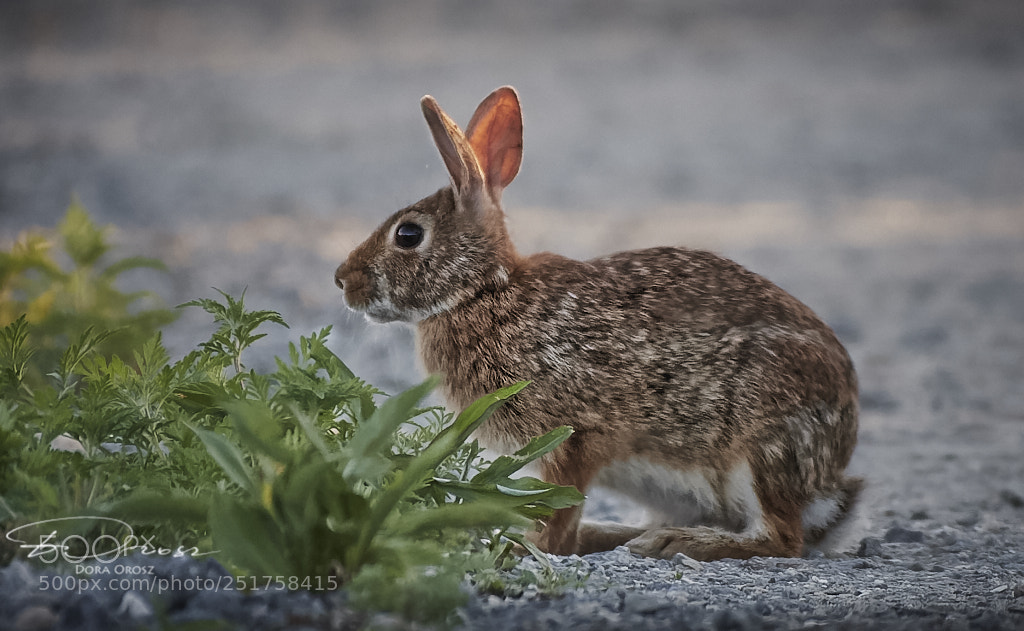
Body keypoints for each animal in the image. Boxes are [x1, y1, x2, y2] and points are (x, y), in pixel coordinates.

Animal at [334, 86, 861, 561]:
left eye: (408, 235)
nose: (341, 279)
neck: (483, 291)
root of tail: (832, 477)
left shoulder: (573, 439)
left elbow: (559, 516)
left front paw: (527, 548)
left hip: (758, 448)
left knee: (781, 539)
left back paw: (676, 543)